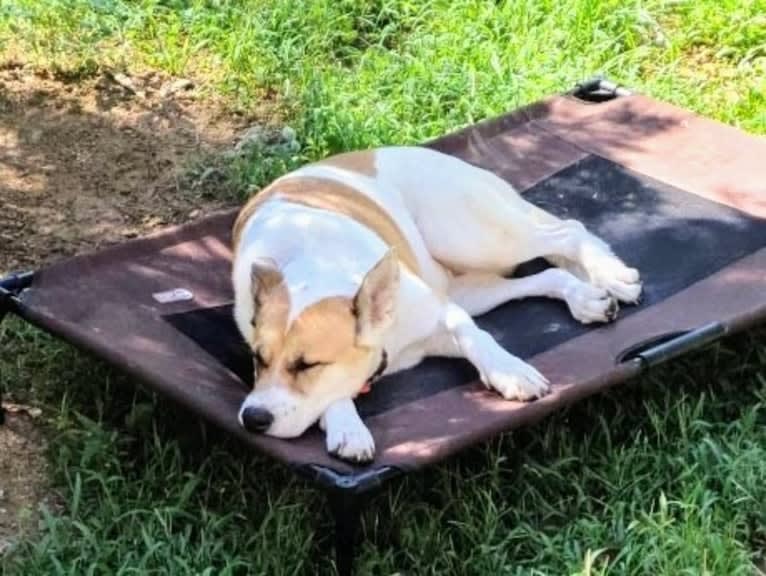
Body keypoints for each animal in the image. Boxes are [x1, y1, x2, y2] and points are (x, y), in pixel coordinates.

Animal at [232, 147, 640, 464]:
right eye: (257, 359)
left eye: (308, 365)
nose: (253, 418)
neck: (317, 260)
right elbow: (336, 393)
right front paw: (347, 425)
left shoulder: (440, 313)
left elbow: (475, 337)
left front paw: (509, 372)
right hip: (471, 285)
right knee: (547, 274)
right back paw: (585, 296)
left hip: (472, 238)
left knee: (568, 231)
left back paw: (610, 274)